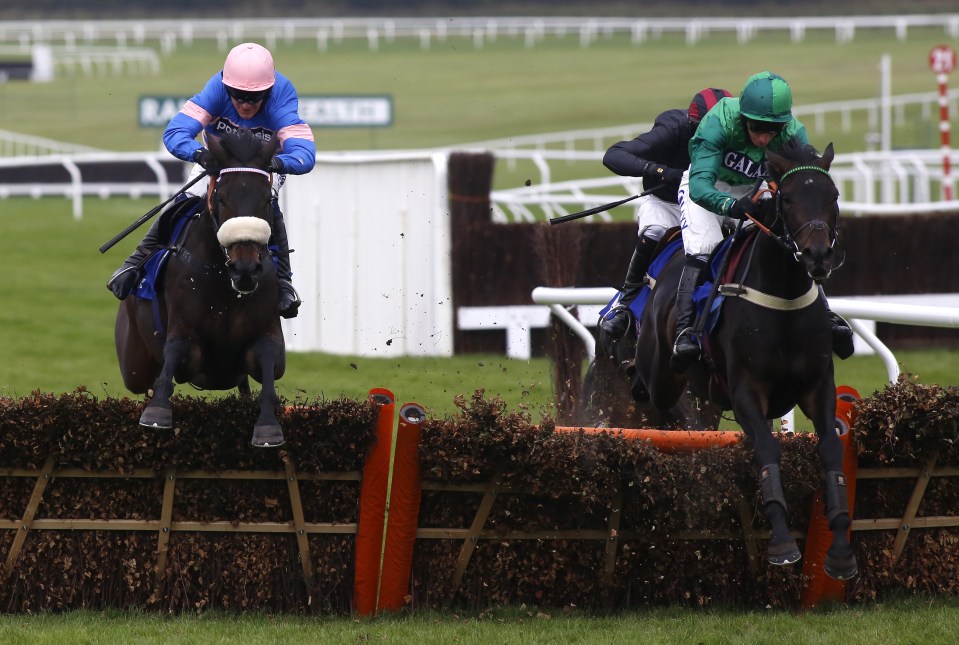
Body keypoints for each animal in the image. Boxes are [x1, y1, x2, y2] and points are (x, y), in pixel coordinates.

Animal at [115, 128, 286, 446]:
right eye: (221, 197)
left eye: (267, 201)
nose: (245, 268)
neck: (224, 282)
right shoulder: (186, 341)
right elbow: (173, 356)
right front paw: (157, 412)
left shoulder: (267, 335)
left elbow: (269, 369)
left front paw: (268, 426)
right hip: (133, 363)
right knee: (142, 380)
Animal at [636, 142, 856, 580]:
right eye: (787, 199)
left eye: (834, 196)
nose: (818, 255)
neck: (783, 297)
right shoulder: (746, 391)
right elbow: (768, 451)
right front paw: (782, 543)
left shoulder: (818, 386)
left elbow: (830, 450)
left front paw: (839, 549)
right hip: (661, 372)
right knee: (657, 399)